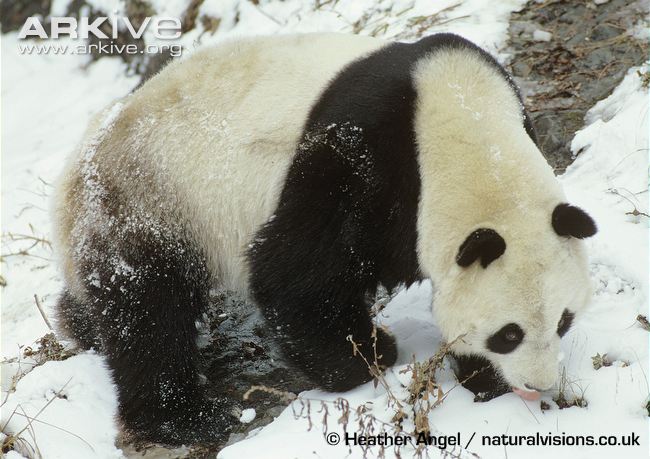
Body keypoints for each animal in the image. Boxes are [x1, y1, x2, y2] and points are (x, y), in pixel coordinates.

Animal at [53, 33, 596, 446]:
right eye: (509, 334)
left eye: (565, 321)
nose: (537, 385)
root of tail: (79, 159)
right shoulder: (355, 156)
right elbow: (295, 274)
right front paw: (370, 355)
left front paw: (478, 375)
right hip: (148, 199)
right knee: (148, 313)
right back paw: (182, 418)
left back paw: (78, 323)